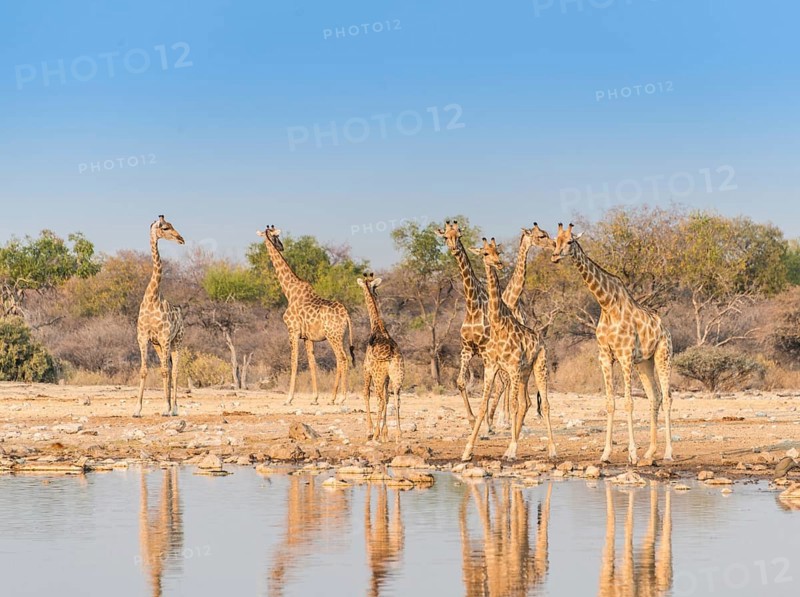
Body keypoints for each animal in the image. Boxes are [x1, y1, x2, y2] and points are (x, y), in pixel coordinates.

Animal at [257, 225, 355, 405]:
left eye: (277, 236)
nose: (281, 246)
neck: (289, 291)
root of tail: (346, 315)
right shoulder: (307, 337)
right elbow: (312, 363)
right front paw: (315, 398)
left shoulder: (292, 331)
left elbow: (294, 361)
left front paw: (289, 398)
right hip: (341, 336)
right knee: (341, 359)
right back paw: (332, 398)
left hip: (333, 336)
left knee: (342, 358)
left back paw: (341, 398)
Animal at [357, 272, 404, 442]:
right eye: (375, 287)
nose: (376, 292)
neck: (376, 325)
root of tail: (390, 355)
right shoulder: (388, 377)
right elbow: (388, 397)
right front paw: (385, 433)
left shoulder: (366, 369)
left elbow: (365, 393)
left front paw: (371, 431)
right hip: (397, 374)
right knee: (396, 398)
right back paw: (398, 434)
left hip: (378, 376)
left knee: (380, 399)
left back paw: (376, 434)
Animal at [462, 238, 556, 461]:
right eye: (485, 253)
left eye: (497, 251)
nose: (498, 263)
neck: (498, 325)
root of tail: (541, 341)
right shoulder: (491, 367)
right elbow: (483, 406)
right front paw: (468, 450)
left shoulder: (511, 367)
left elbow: (512, 407)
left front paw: (513, 449)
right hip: (524, 373)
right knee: (526, 403)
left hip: (539, 366)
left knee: (544, 405)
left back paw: (552, 449)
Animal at [551, 222, 674, 464]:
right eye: (555, 241)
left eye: (569, 241)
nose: (555, 256)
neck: (607, 304)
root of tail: (665, 329)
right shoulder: (605, 357)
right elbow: (610, 403)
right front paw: (606, 453)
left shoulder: (625, 356)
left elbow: (628, 402)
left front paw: (632, 454)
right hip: (644, 363)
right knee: (655, 397)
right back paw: (650, 452)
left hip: (663, 356)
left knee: (667, 397)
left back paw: (667, 453)